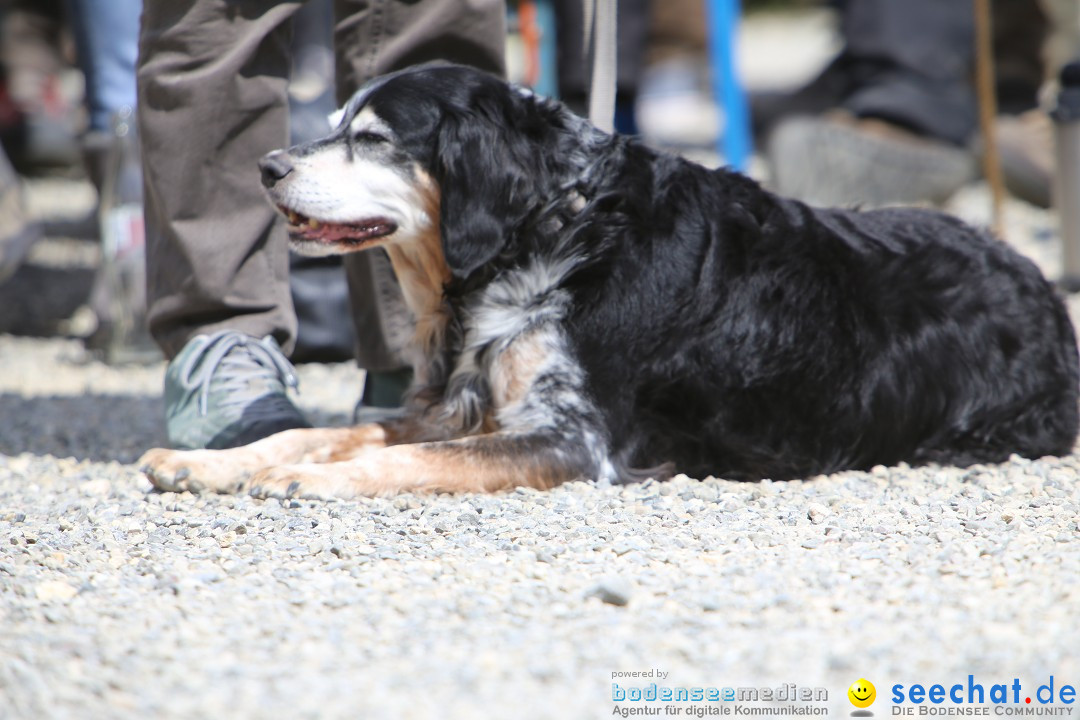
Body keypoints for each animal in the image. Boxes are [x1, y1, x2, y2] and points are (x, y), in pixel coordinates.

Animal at [139, 64, 1075, 498]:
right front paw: (210, 462)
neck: (551, 232)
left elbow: (400, 458)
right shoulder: (453, 406)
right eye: (333, 125)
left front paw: (313, 480)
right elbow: (324, 433)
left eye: (371, 140)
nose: (267, 167)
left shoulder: (568, 437)